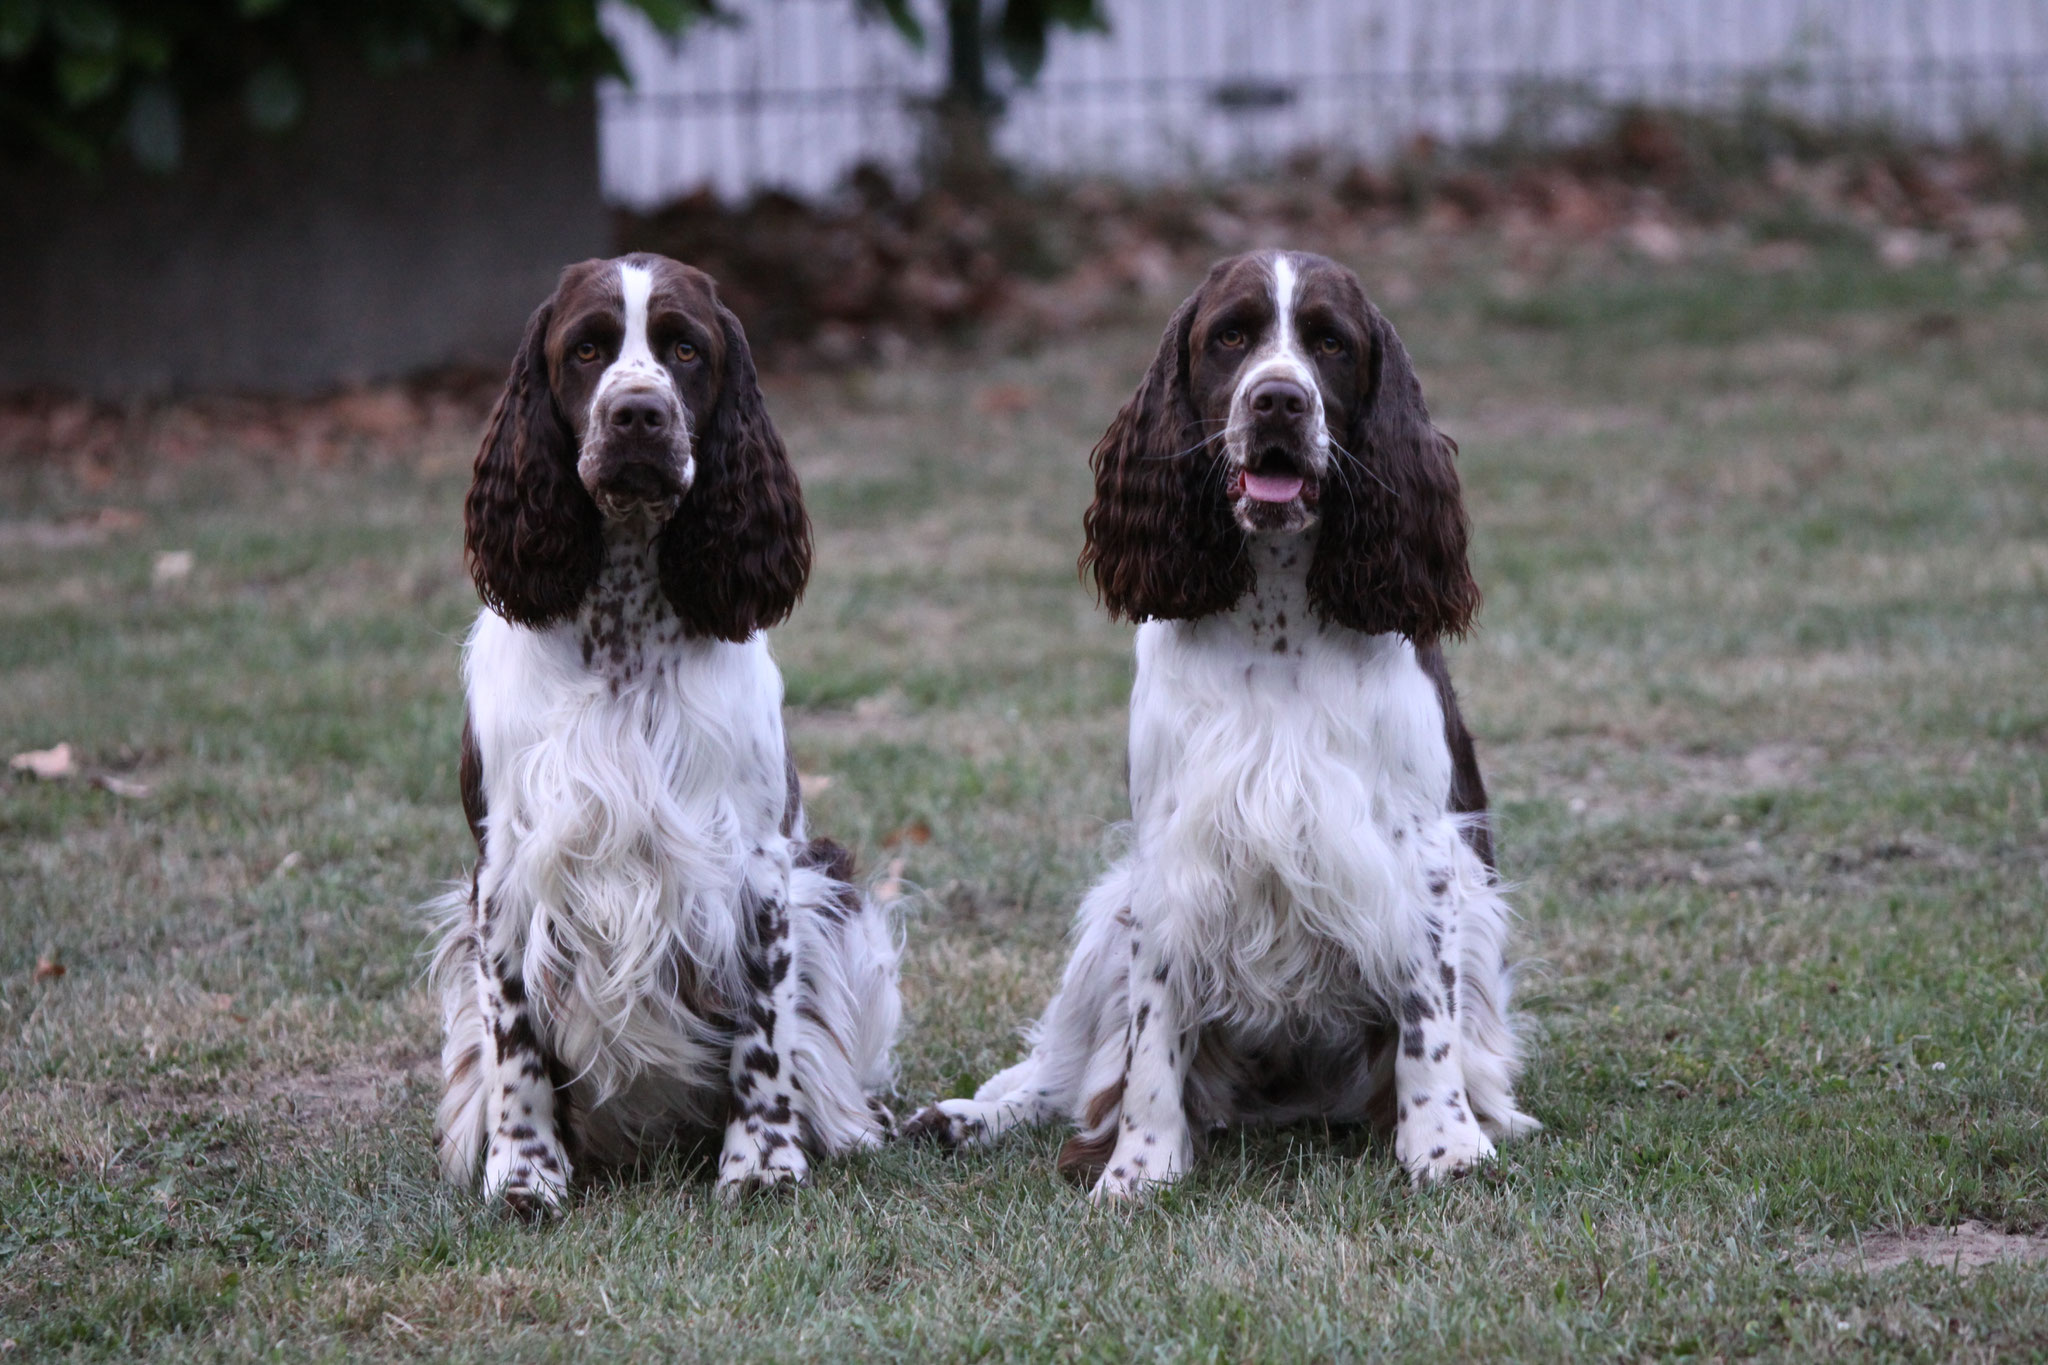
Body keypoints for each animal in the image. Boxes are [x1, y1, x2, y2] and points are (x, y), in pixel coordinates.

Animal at [432, 255, 897, 1219]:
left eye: (686, 348)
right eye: (586, 349)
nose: (638, 414)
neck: (624, 628)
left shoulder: (757, 865)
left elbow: (765, 1033)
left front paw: (763, 1161)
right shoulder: (505, 872)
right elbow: (515, 1041)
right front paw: (524, 1172)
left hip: (831, 889)